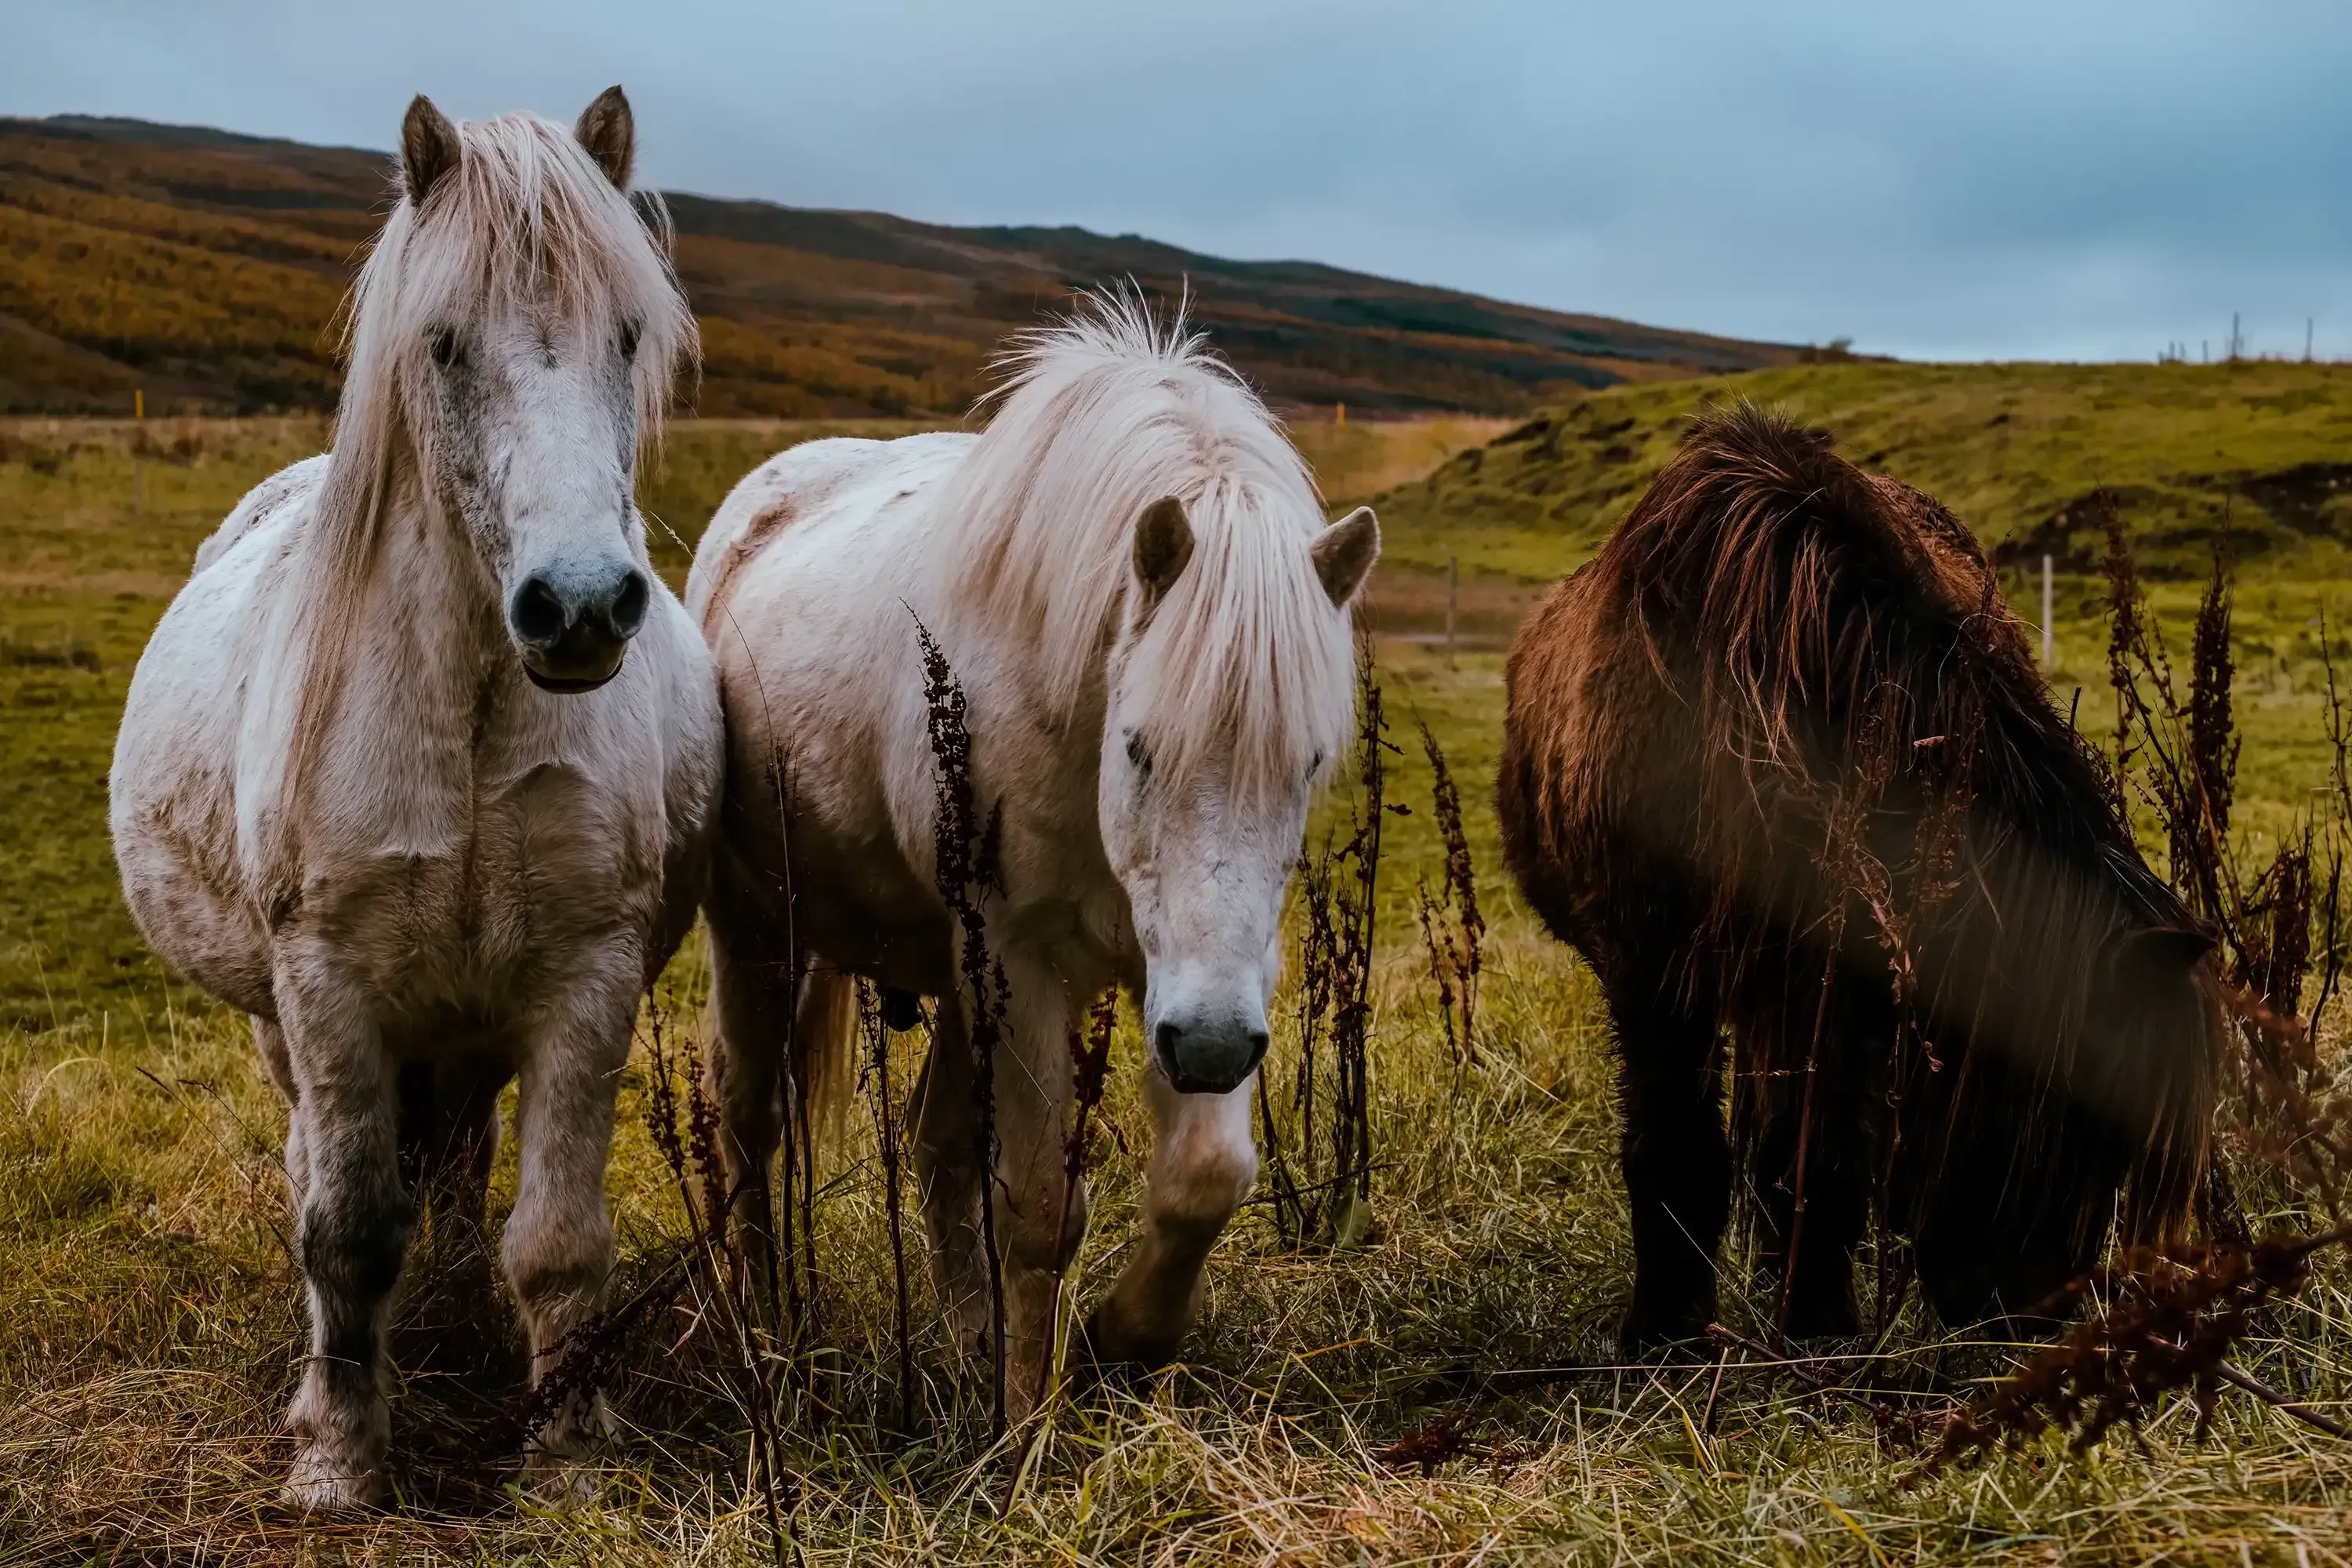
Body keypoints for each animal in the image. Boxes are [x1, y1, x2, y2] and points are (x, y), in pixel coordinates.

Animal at [108, 89, 718, 1508]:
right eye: (443, 344)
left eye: (626, 335)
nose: (583, 606)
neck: (473, 716)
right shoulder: (328, 983)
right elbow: (344, 1232)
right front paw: (338, 1460)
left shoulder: (585, 978)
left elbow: (556, 1237)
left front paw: (566, 1449)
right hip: (289, 1027)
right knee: (324, 1174)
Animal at [685, 294, 1380, 1414]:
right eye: (1140, 746)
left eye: (1308, 764)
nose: (1213, 1050)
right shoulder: (1023, 957)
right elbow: (1038, 1210)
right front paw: (1026, 1418)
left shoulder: (1206, 971)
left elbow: (1205, 1173)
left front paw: (1118, 1339)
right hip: (761, 932)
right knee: (753, 1116)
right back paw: (762, 1328)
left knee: (934, 1147)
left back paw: (969, 1343)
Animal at [1496, 405, 2220, 1351]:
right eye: (2053, 1117)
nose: (2030, 1317)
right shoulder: (1651, 976)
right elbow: (1676, 1149)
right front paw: (1665, 1332)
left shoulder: (1841, 988)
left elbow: (1819, 1160)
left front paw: (1816, 1325)